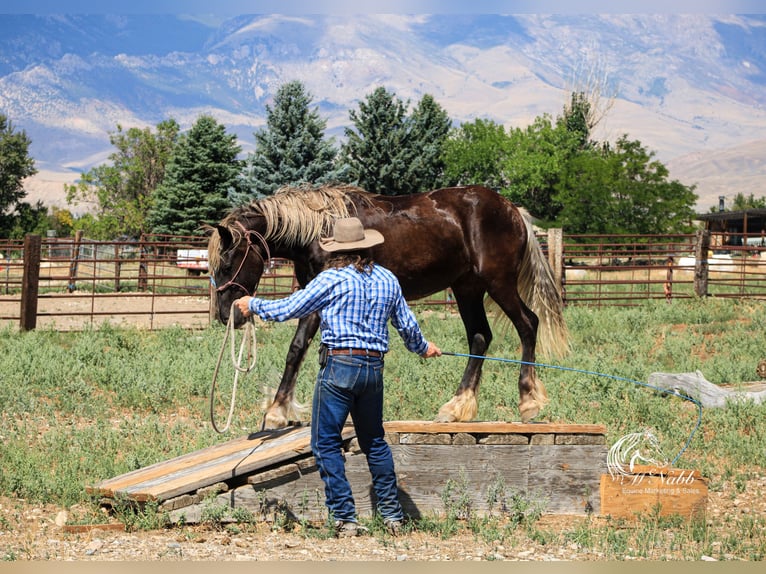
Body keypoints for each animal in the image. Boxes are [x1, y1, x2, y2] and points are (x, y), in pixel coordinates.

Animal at [206, 182, 568, 430]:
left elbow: (296, 348)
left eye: (227, 263)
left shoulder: (320, 295)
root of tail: (512, 209)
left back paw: (528, 401)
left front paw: (276, 412)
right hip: (467, 288)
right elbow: (306, 350)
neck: (321, 228)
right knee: (480, 337)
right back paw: (457, 406)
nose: (227, 314)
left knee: (528, 324)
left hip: (498, 283)